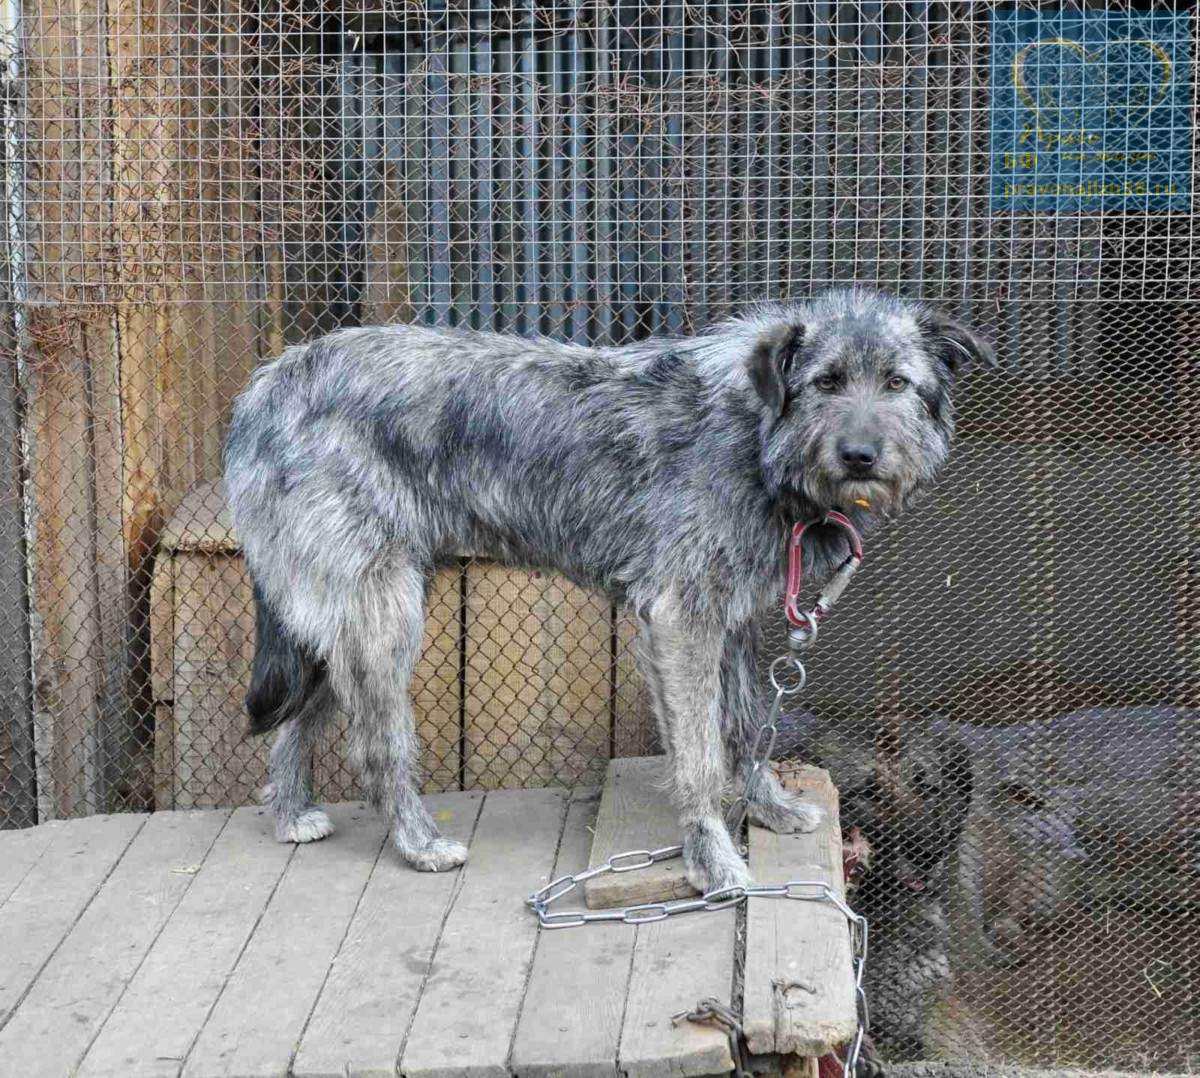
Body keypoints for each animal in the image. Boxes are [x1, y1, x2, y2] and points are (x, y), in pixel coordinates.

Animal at [225, 288, 993, 893]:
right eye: (827, 382)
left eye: (897, 383)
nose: (860, 456)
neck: (758, 435)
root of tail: (266, 384)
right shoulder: (681, 619)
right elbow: (698, 753)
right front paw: (713, 861)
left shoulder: (732, 626)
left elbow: (746, 726)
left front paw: (769, 807)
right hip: (381, 611)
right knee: (377, 741)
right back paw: (417, 844)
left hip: (345, 609)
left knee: (300, 716)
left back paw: (291, 813)